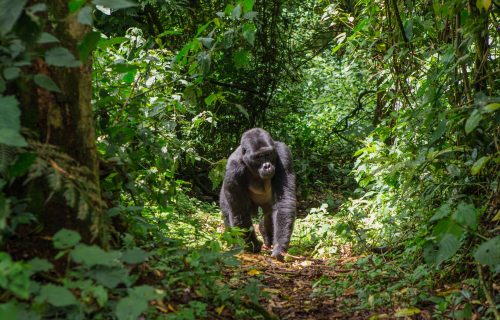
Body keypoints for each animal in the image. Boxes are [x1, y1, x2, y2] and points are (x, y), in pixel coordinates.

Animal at [220, 127, 296, 260]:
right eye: (259, 157)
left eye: (268, 154)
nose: (267, 166)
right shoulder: (233, 170)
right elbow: (240, 212)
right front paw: (253, 245)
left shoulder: (283, 154)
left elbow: (284, 202)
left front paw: (279, 247)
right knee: (228, 213)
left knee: (269, 215)